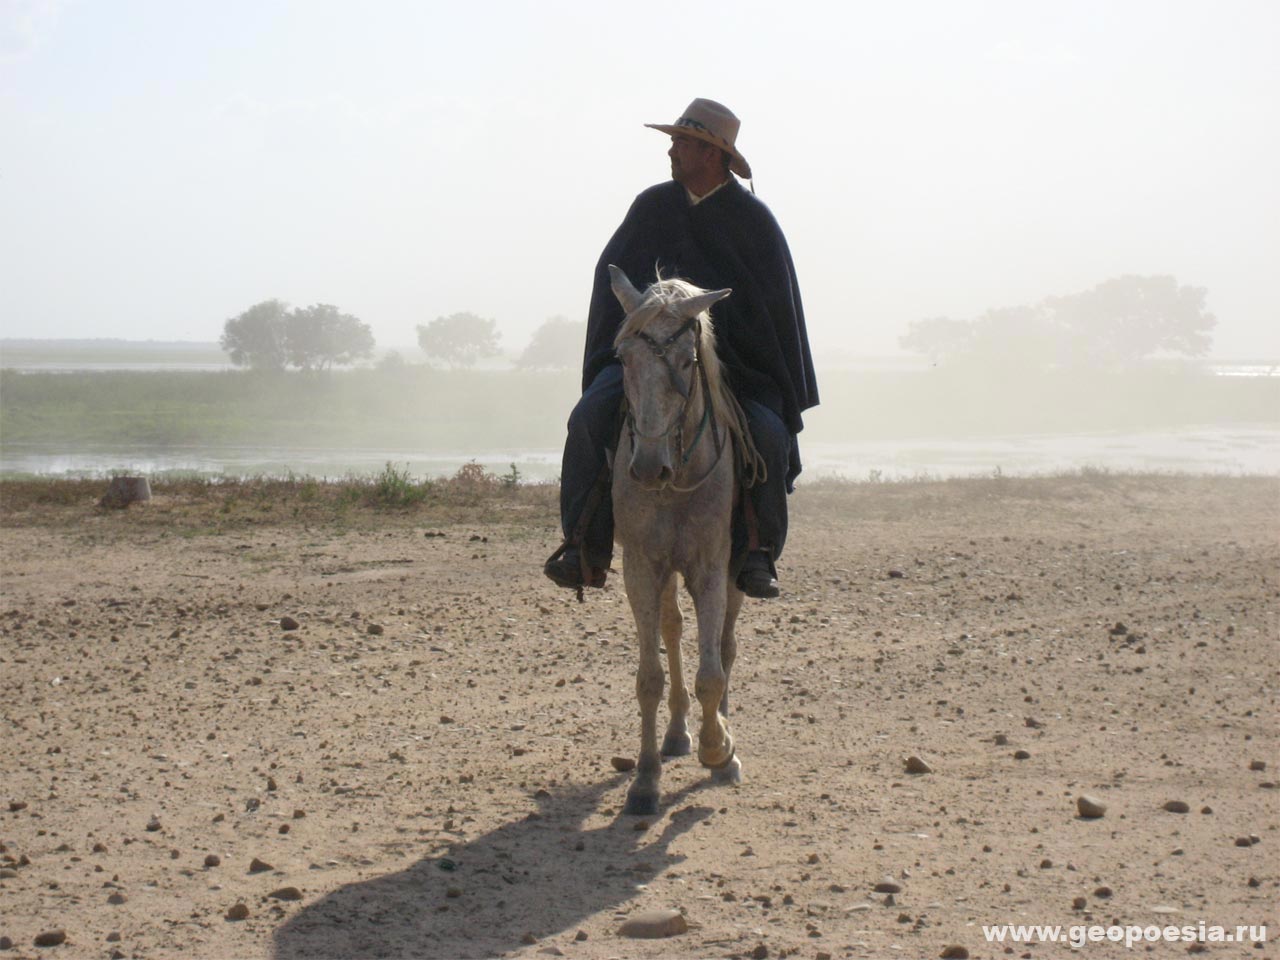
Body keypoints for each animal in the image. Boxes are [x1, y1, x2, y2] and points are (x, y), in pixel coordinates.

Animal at [604, 264, 752, 819]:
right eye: (624, 358)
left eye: (688, 360)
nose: (648, 467)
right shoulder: (642, 568)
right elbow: (649, 677)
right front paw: (645, 780)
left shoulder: (712, 567)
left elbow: (712, 670)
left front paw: (719, 748)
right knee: (673, 628)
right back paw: (676, 734)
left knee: (725, 645)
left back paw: (723, 735)